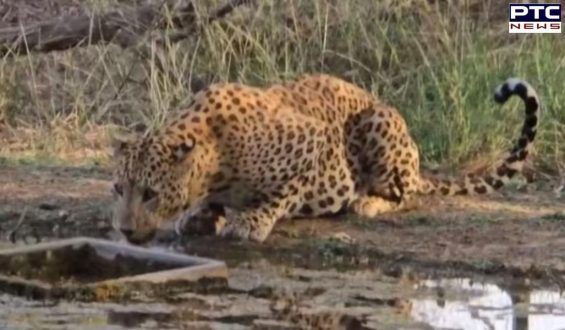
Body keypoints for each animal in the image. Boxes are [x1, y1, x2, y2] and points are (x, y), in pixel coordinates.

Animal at [109, 75, 536, 245]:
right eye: (117, 189)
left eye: (150, 193)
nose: (124, 230)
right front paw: (200, 215)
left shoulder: (317, 145)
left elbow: (280, 194)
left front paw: (250, 222)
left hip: (379, 123)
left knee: (406, 195)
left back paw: (367, 202)